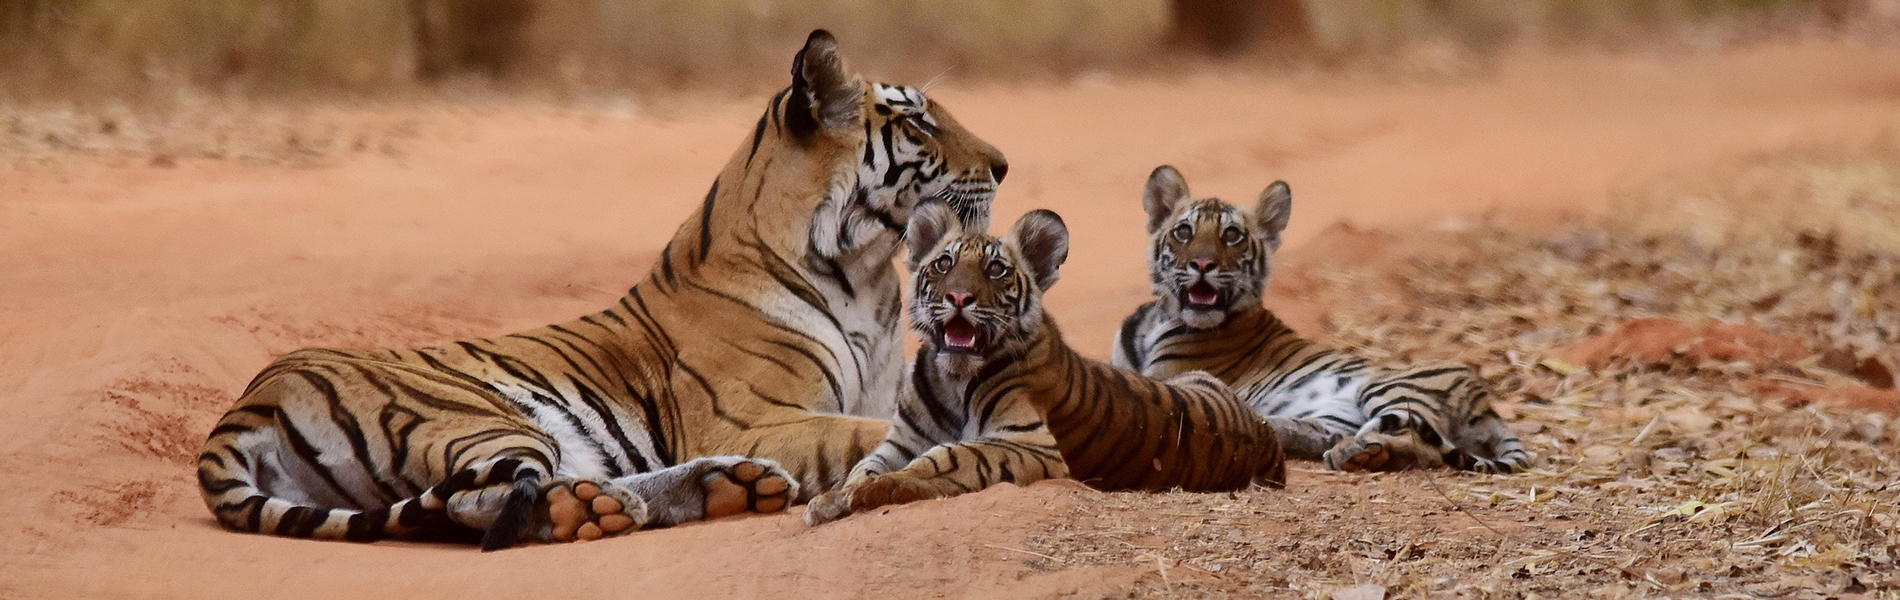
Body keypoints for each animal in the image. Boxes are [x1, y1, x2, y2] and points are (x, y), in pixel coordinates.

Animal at [196, 30, 1011, 550]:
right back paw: (605, 508)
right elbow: (867, 435)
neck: (866, 271)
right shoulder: (755, 417)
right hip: (477, 418)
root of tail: (246, 403)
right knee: (473, 501)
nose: (1003, 165)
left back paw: (726, 489)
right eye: (919, 123)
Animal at [805, 205, 1286, 525]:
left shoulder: (1030, 442)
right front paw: (833, 499)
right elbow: (865, 466)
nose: (959, 297)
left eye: (996, 270)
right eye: (944, 263)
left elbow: (950, 456)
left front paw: (879, 490)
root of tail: (1264, 434)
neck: (952, 379)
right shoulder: (901, 440)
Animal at [1112, 165, 1532, 473]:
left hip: (1391, 389)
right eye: (1184, 232)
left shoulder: (1167, 377)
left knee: (1417, 444)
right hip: (1334, 414)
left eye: (1231, 236)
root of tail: (1485, 402)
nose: (1202, 264)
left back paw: (1355, 451)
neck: (1159, 317)